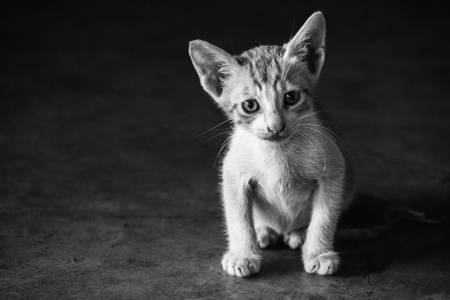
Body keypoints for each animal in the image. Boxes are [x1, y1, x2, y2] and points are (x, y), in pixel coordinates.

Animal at [188, 12, 354, 276]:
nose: (276, 126)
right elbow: (237, 218)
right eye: (250, 105)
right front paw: (242, 255)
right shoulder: (233, 173)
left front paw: (319, 253)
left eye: (291, 97)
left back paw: (297, 233)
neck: (277, 153)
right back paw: (264, 230)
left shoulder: (334, 171)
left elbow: (324, 217)